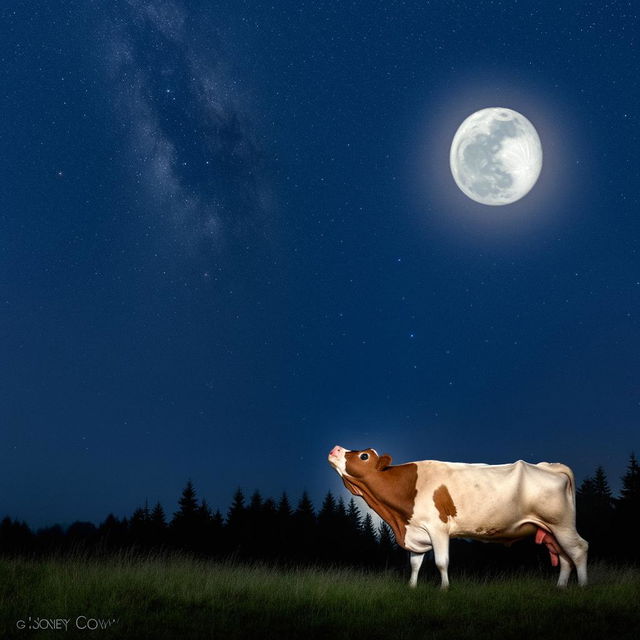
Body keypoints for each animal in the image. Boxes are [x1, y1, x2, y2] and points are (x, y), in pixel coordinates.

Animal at [328, 444, 588, 592]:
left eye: (364, 456)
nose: (335, 448)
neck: (399, 521)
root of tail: (549, 466)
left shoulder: (438, 528)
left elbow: (441, 562)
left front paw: (444, 589)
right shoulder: (417, 531)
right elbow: (415, 564)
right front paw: (411, 588)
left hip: (561, 524)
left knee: (578, 549)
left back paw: (583, 586)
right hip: (550, 530)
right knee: (564, 556)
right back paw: (560, 588)